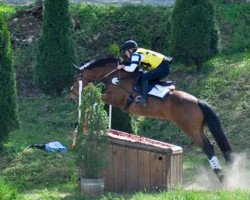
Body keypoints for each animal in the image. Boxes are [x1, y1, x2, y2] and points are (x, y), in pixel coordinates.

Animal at [70, 55, 232, 183]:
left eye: (76, 79)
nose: (72, 95)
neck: (116, 76)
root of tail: (198, 101)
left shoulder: (115, 98)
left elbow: (98, 98)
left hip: (190, 129)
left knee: (208, 147)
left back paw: (221, 176)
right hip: (197, 129)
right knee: (210, 145)